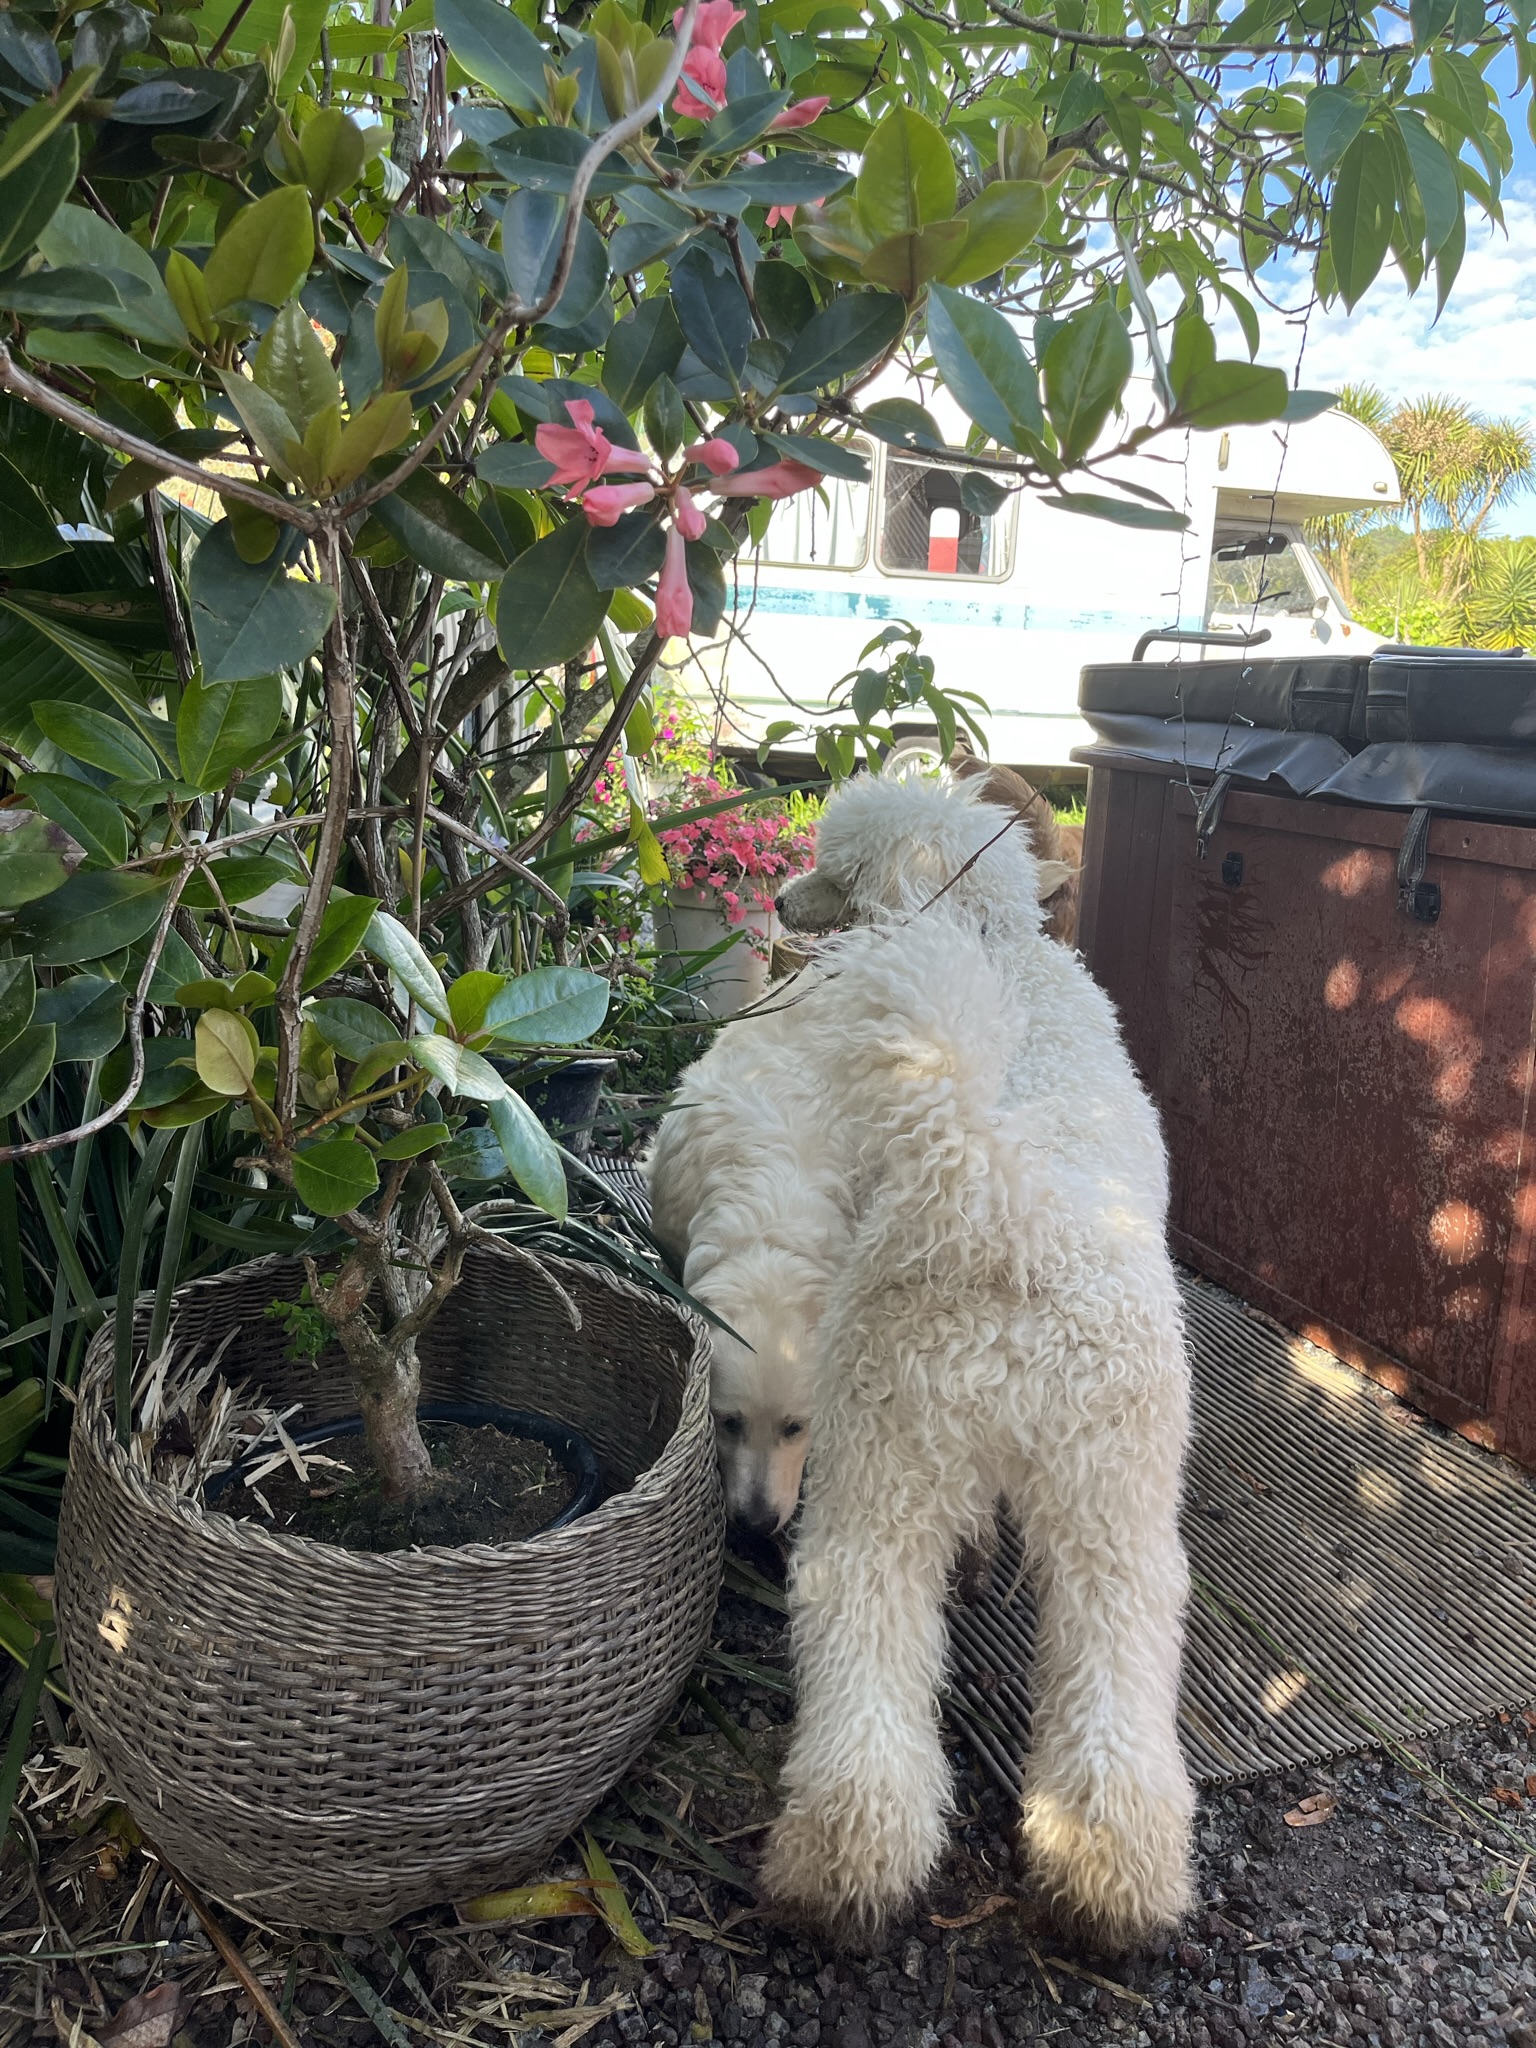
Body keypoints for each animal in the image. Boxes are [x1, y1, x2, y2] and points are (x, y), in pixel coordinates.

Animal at [647, 774, 1187, 1941]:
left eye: (836, 865)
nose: (786, 903)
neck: (995, 940)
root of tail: (1004, 1215)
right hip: (1075, 1498)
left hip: (972, 1477)